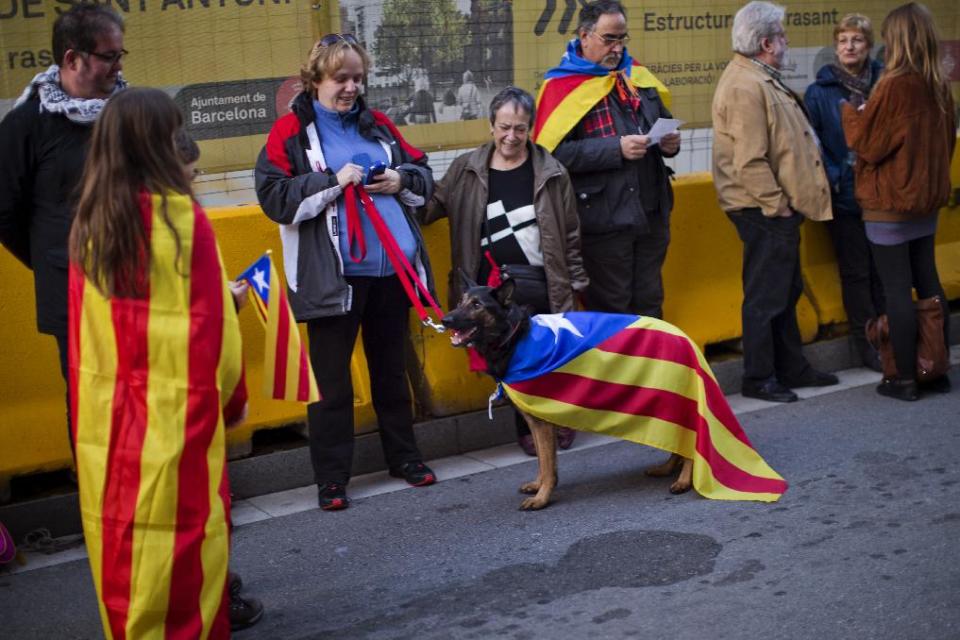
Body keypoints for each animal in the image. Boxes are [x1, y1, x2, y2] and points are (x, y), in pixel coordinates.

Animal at [442, 276, 688, 510]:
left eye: (477, 305)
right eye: (460, 302)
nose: (445, 321)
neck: (514, 337)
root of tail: (683, 336)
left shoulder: (541, 422)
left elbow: (547, 464)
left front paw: (542, 498)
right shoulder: (534, 421)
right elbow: (544, 462)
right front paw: (538, 486)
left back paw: (684, 481)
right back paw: (667, 469)